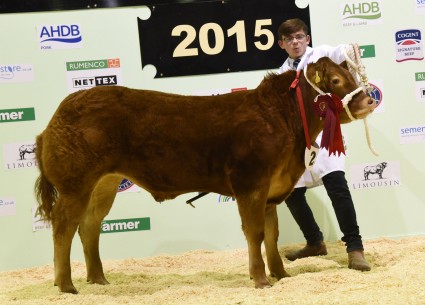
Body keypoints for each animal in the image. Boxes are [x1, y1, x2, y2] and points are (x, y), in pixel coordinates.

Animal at [34, 57, 372, 292]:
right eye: (336, 79)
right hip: (74, 184)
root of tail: (60, 112)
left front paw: (280, 274)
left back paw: (98, 278)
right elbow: (255, 233)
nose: (369, 100)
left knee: (90, 226)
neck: (282, 120)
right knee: (64, 226)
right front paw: (260, 279)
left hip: (103, 183)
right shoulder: (250, 184)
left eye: (352, 76)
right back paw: (66, 284)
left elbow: (272, 235)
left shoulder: (272, 191)